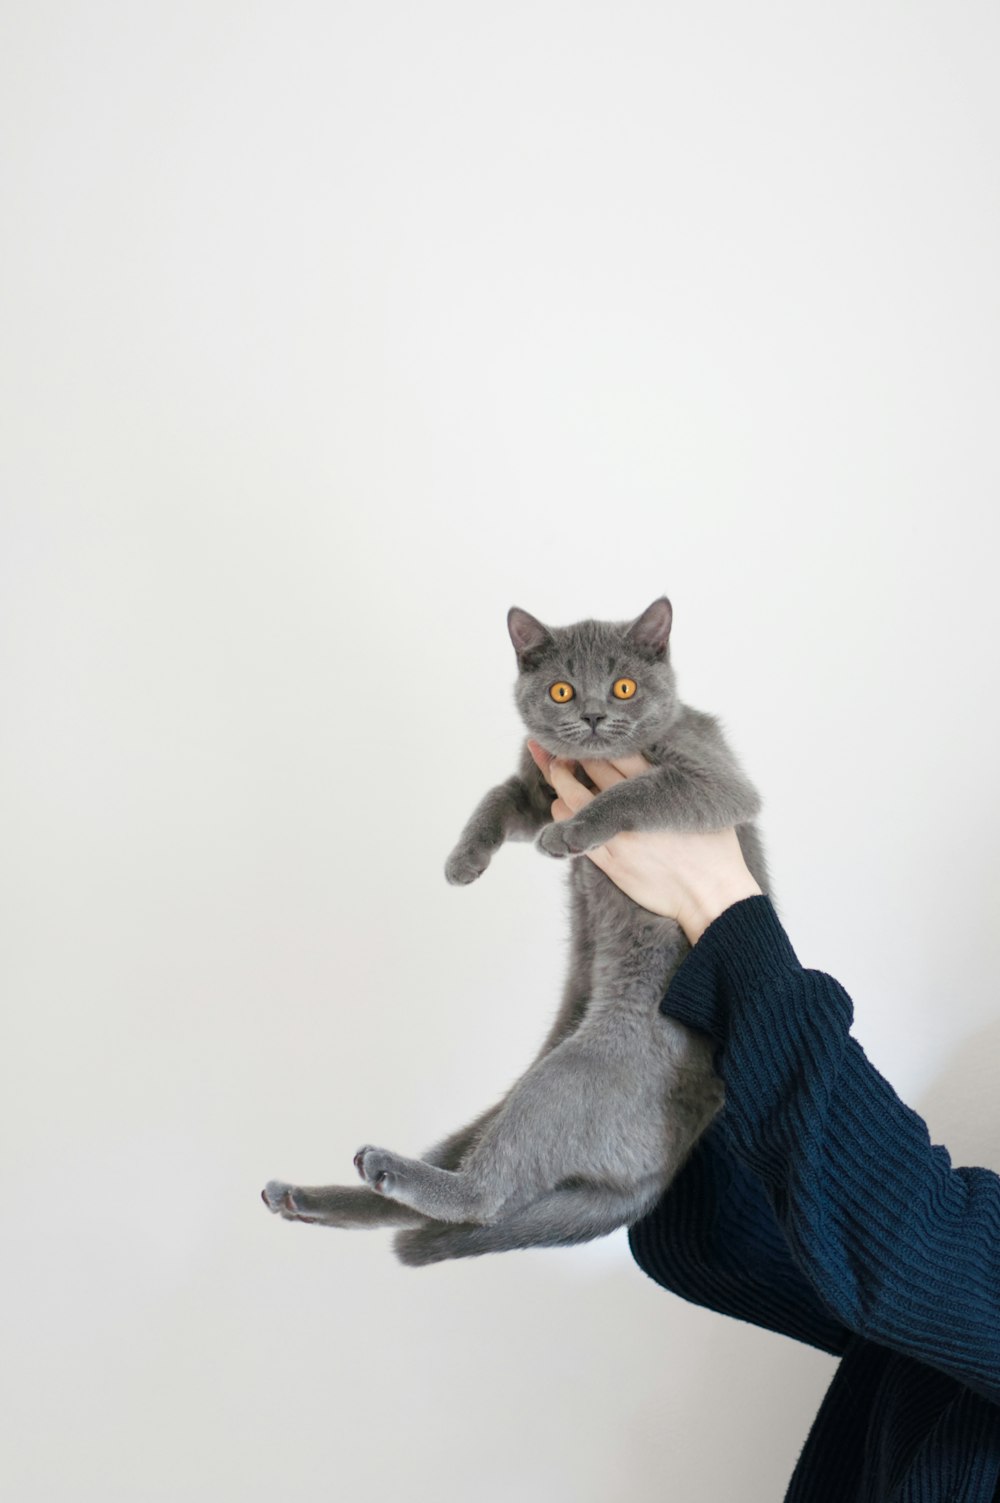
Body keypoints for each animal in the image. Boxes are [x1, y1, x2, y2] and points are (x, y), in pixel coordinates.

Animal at [261, 598, 766, 1268]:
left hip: (571, 1077)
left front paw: (572, 831)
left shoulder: (717, 783)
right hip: (518, 1093)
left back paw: (382, 1172)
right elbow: (498, 795)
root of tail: (667, 1165)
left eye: (624, 687)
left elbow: (639, 789)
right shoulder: (536, 785)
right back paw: (309, 1196)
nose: (594, 715)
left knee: (488, 1196)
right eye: (561, 691)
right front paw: (463, 861)